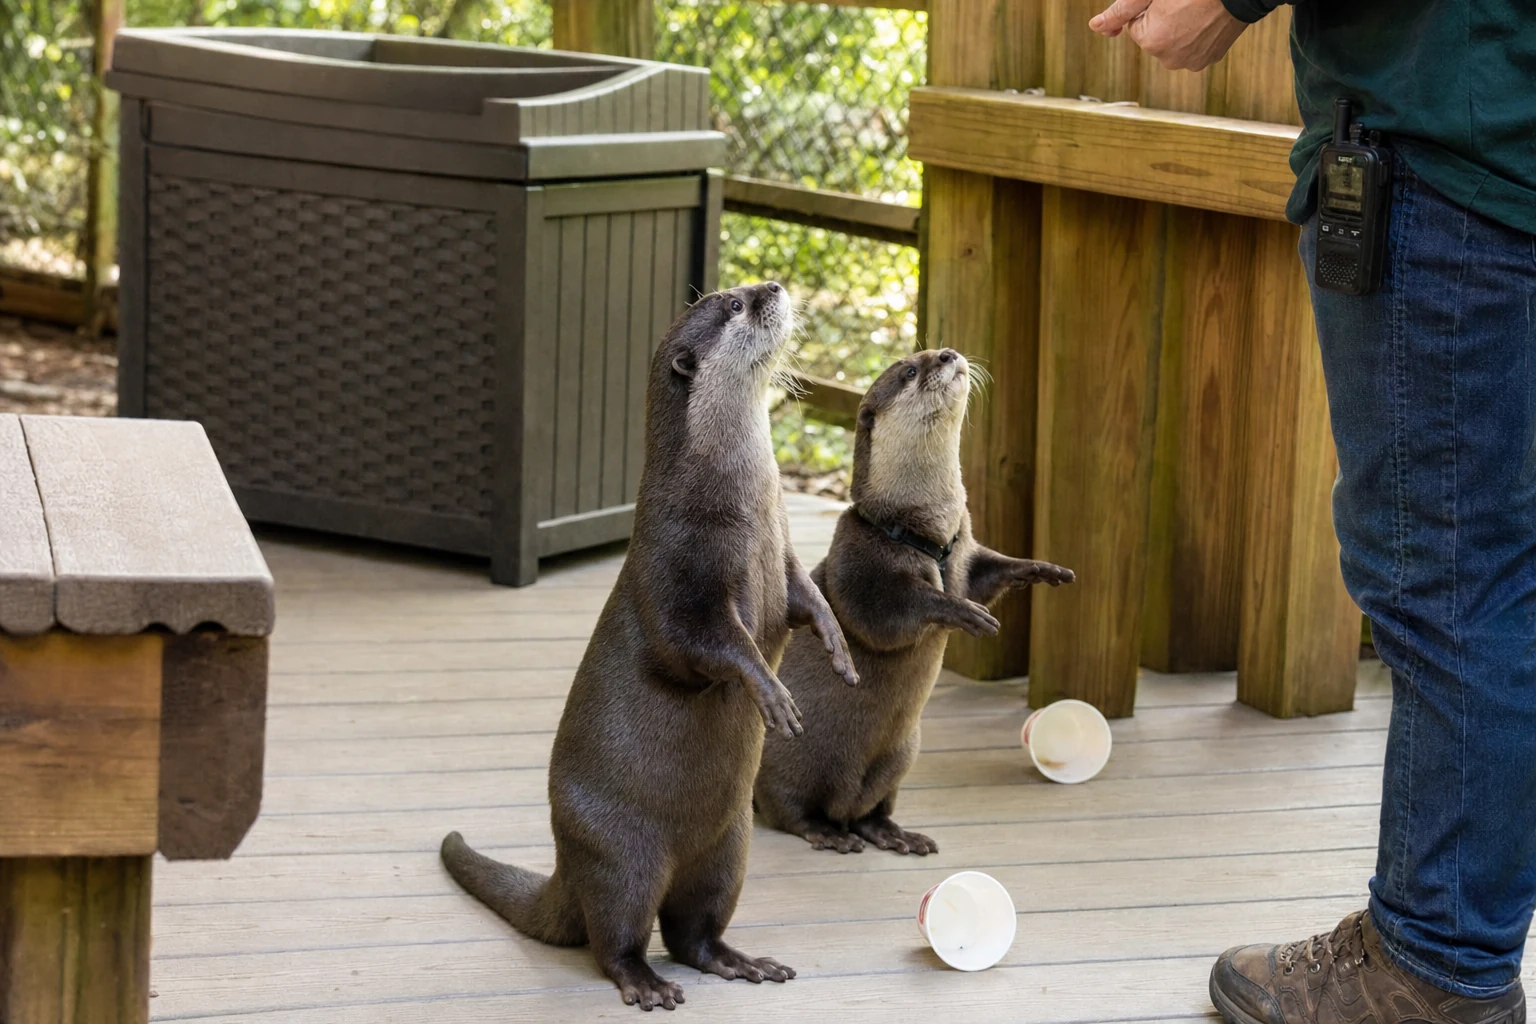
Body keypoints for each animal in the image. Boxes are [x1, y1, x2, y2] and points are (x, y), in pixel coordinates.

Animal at [441, 281, 858, 1011]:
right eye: (734, 306)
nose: (774, 288)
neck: (739, 504)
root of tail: (565, 862)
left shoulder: (781, 557)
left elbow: (809, 598)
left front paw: (839, 648)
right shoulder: (679, 566)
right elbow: (697, 646)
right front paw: (773, 695)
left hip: (729, 848)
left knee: (695, 929)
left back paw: (739, 961)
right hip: (619, 853)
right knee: (616, 935)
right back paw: (645, 983)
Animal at [754, 348, 1074, 856]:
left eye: (936, 353)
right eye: (909, 370)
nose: (947, 354)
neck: (922, 531)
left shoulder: (965, 549)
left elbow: (989, 570)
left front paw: (1042, 570)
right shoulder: (858, 566)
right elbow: (889, 611)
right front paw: (962, 613)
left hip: (903, 753)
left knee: (871, 809)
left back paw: (895, 834)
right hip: (791, 756)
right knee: (788, 808)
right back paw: (829, 833)